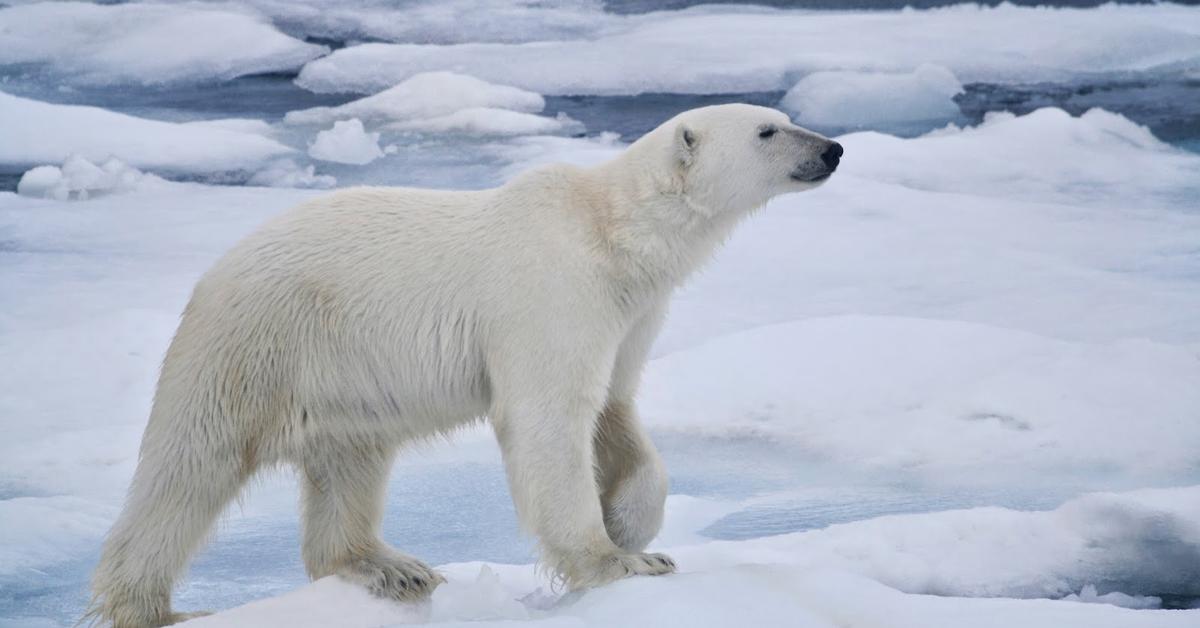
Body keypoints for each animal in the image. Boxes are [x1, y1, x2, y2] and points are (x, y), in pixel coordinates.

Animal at [88, 105, 840, 624]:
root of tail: (214, 273)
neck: (612, 229)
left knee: (350, 463)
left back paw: (388, 567)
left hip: (339, 377)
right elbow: (549, 416)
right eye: (769, 130)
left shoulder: (628, 311)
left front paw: (632, 525)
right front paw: (618, 563)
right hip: (255, 344)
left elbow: (614, 408)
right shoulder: (551, 287)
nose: (833, 148)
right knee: (190, 467)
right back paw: (156, 606)